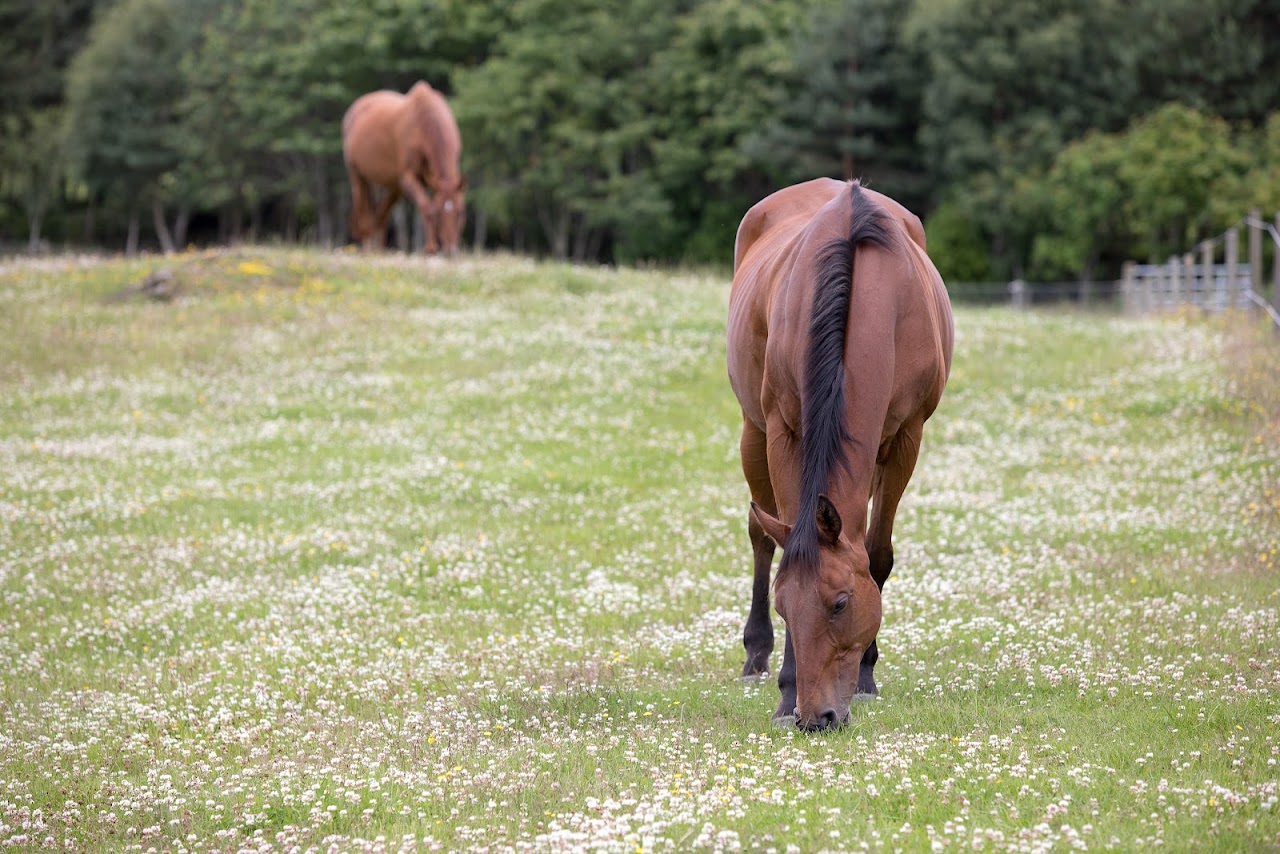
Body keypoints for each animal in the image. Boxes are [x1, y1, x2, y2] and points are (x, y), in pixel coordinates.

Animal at [342, 81, 466, 255]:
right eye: (438, 213)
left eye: (461, 212)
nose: (451, 250)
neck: (425, 122)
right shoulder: (409, 177)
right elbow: (426, 207)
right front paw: (430, 248)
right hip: (358, 176)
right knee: (364, 211)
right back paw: (368, 246)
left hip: (392, 184)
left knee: (381, 214)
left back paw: (379, 248)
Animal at [726, 178, 953, 731]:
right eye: (785, 608)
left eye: (840, 604)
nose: (817, 716)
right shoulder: (783, 430)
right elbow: (786, 541)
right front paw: (785, 693)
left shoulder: (906, 437)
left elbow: (876, 554)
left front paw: (867, 675)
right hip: (751, 430)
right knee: (761, 537)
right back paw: (755, 653)